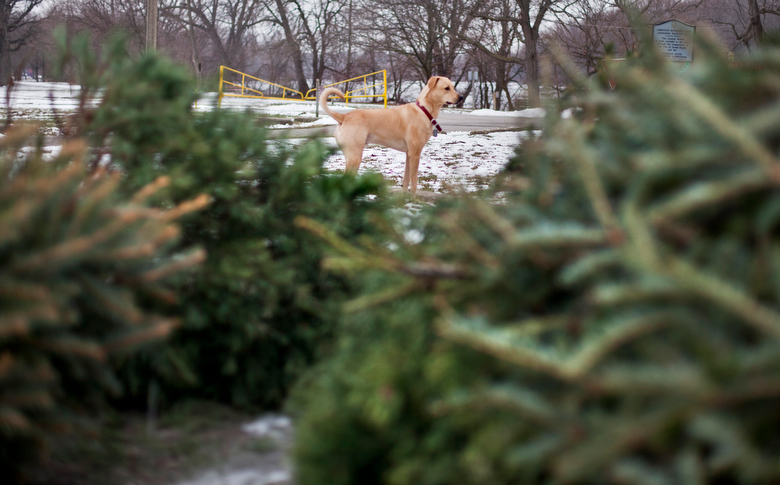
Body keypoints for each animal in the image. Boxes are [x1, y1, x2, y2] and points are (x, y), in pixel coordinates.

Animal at [318, 75, 464, 193]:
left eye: (453, 87)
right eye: (446, 88)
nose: (461, 97)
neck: (424, 110)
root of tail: (344, 116)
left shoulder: (409, 155)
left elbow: (406, 180)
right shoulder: (415, 155)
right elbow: (414, 182)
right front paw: (414, 200)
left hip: (350, 157)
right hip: (355, 157)